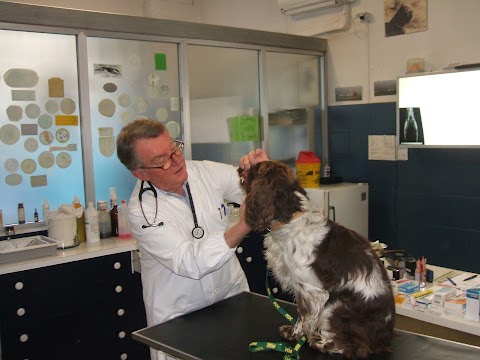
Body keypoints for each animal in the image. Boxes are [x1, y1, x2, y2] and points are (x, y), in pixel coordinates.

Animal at [239, 162, 394, 358]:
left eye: (253, 168)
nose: (239, 167)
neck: (290, 220)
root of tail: (383, 340)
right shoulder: (301, 290)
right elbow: (300, 315)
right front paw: (293, 334)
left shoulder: (312, 291)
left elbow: (304, 316)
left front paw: (299, 337)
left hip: (335, 307)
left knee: (353, 347)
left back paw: (319, 343)